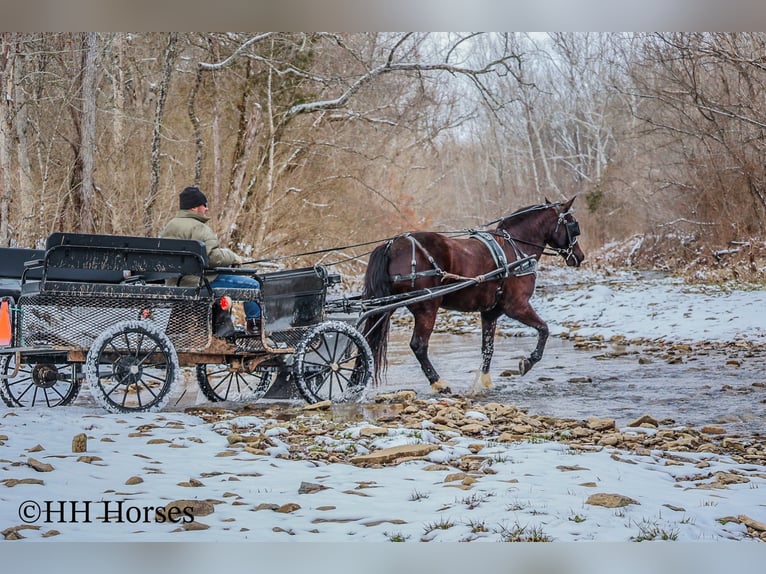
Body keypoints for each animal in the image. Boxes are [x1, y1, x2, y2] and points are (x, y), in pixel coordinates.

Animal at [361, 196, 585, 394]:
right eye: (573, 225)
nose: (579, 256)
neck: (515, 249)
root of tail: (391, 245)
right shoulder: (517, 306)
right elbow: (544, 329)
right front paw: (528, 362)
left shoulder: (490, 313)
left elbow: (488, 348)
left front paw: (486, 382)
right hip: (427, 308)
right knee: (419, 345)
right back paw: (438, 383)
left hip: (386, 307)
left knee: (370, 341)